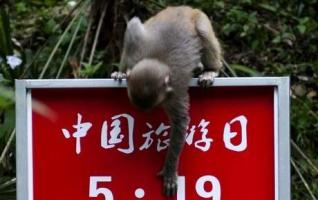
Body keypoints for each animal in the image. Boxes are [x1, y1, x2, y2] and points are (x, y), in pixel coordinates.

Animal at [111, 5, 221, 196]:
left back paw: (210, 70)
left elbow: (180, 122)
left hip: (201, 19)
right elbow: (132, 28)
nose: (146, 112)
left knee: (203, 32)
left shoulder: (174, 92)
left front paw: (170, 170)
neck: (158, 61)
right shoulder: (135, 51)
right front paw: (121, 73)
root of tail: (185, 8)